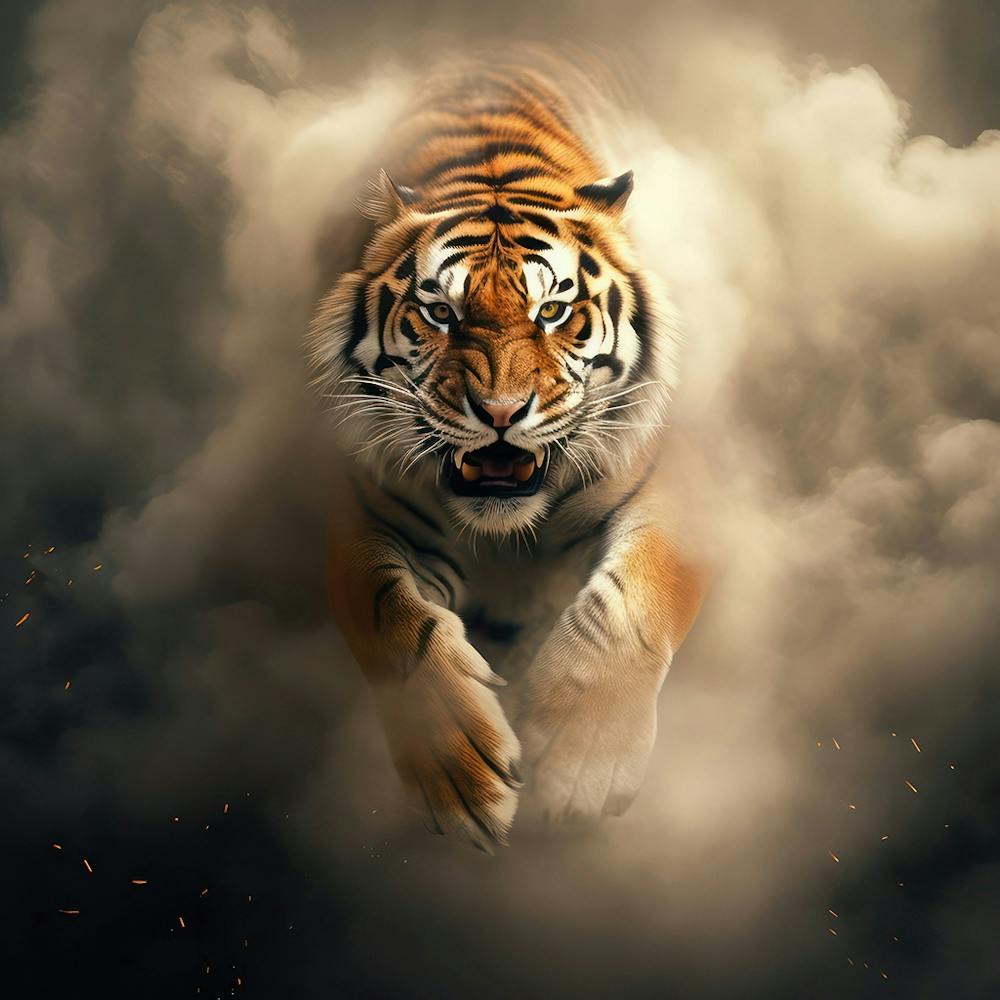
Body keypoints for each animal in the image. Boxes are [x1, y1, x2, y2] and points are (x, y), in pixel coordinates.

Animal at [307, 60, 705, 852]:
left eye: (552, 312)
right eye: (440, 313)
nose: (498, 413)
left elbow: (635, 600)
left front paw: (580, 760)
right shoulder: (362, 515)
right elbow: (387, 616)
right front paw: (458, 768)